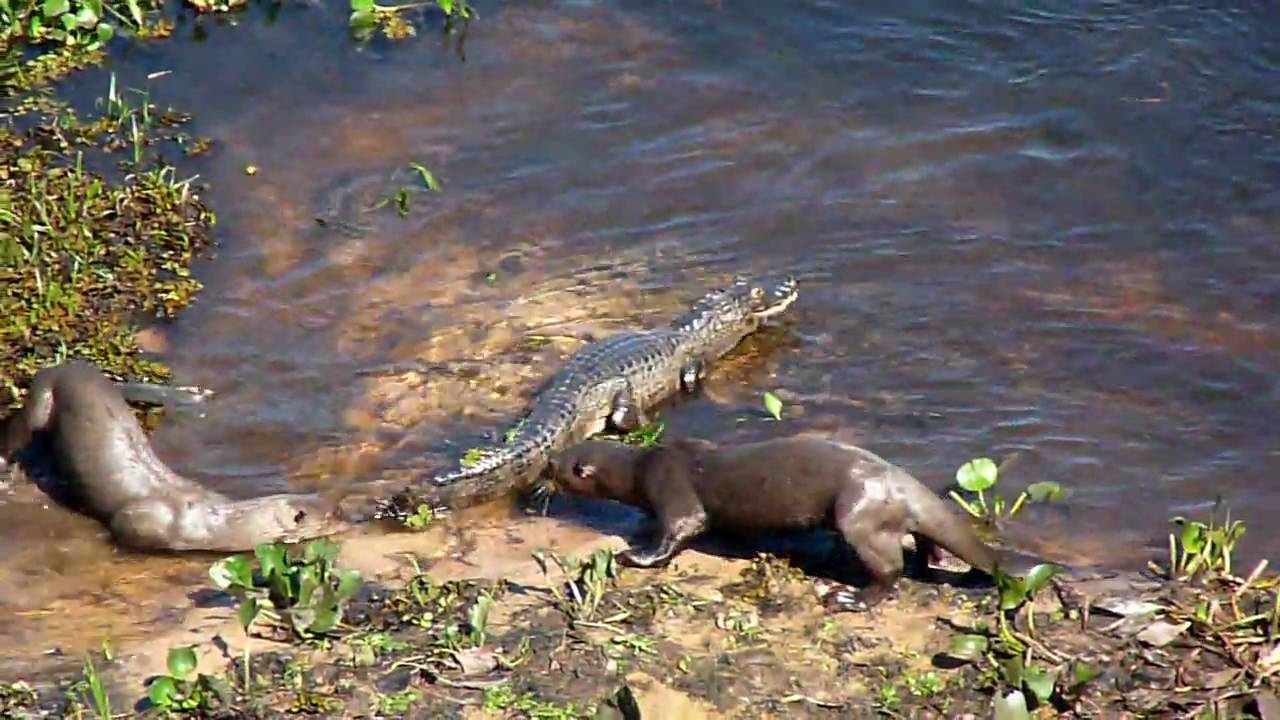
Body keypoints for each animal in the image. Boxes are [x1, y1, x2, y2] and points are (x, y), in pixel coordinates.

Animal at [0, 361, 351, 552]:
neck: (215, 524)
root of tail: (65, 367)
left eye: (337, 506)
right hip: (42, 400)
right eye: (333, 514)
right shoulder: (141, 520)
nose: (349, 521)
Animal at [548, 435, 1036, 610]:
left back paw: (850, 598)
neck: (640, 466)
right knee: (921, 540)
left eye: (554, 464)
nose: (541, 471)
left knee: (890, 569)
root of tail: (900, 483)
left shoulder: (670, 485)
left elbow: (682, 526)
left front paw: (636, 555)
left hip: (856, 512)